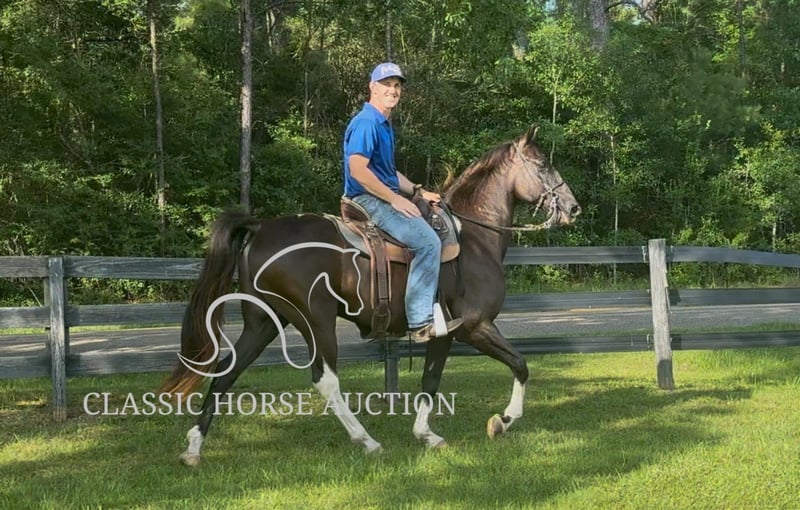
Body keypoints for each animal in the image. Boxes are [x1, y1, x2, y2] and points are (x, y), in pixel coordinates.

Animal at [160, 127, 581, 465]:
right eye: (543, 165)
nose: (573, 208)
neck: (474, 239)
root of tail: (260, 228)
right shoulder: (475, 326)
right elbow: (520, 364)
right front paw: (503, 421)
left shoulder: (443, 334)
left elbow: (430, 380)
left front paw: (426, 434)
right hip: (316, 321)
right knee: (325, 380)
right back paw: (367, 441)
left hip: (264, 322)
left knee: (226, 373)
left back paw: (194, 449)